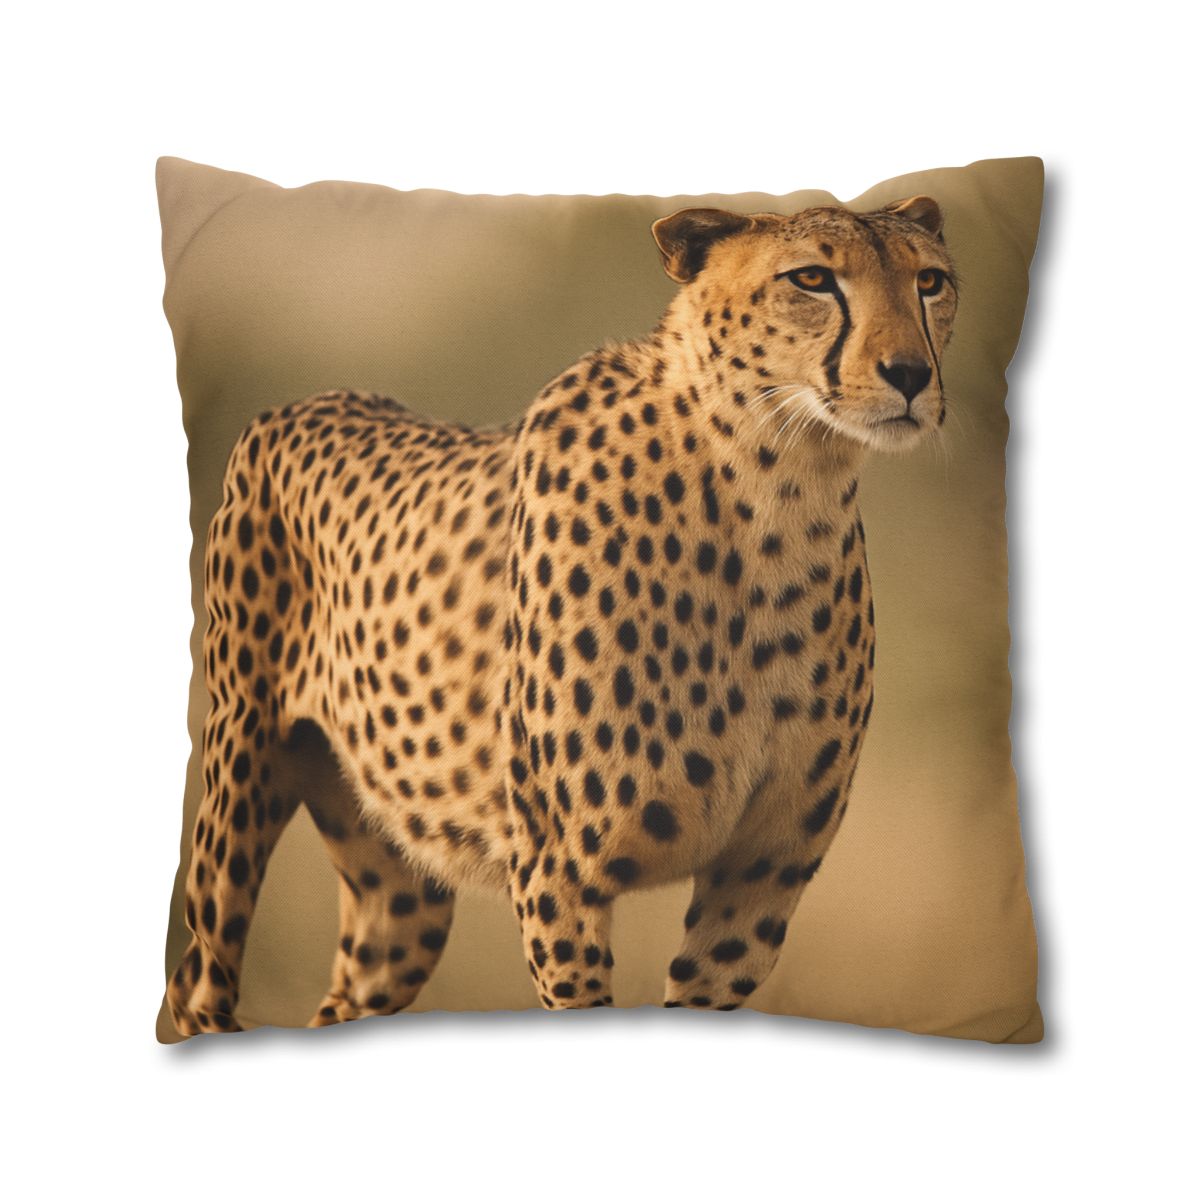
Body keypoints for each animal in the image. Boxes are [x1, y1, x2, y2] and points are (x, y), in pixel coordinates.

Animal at [166, 194, 957, 1033]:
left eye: (930, 281)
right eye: (811, 279)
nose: (911, 375)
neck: (776, 493)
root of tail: (307, 401)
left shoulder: (760, 876)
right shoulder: (561, 871)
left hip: (400, 892)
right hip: (241, 772)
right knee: (199, 978)